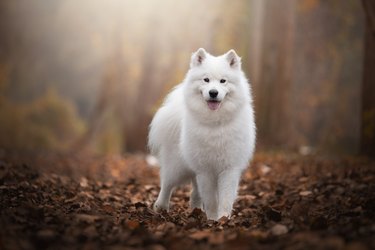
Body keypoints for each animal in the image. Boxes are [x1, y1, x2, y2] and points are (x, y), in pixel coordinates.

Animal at [148, 47, 258, 220]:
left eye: (223, 81)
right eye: (206, 80)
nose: (213, 92)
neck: (215, 124)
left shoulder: (229, 169)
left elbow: (225, 198)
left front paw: (223, 219)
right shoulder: (205, 170)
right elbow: (211, 199)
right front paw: (212, 219)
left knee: (194, 192)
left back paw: (196, 209)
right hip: (177, 166)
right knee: (167, 184)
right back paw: (160, 206)